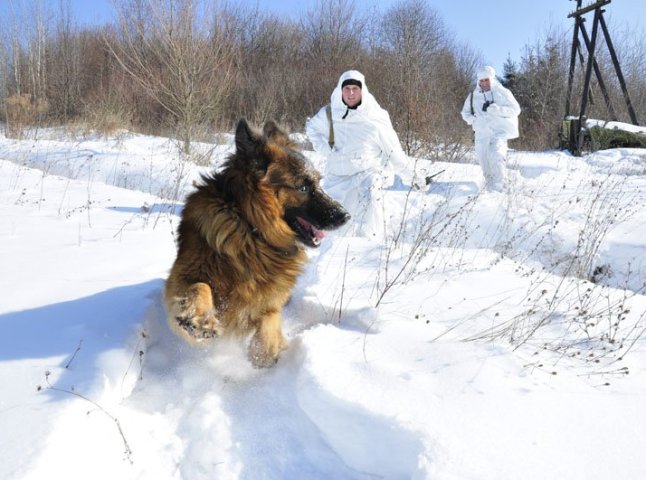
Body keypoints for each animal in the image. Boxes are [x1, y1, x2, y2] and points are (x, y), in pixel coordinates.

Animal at [165, 119, 352, 368]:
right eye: (303, 187)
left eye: (318, 183)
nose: (345, 215)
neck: (251, 230)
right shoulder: (181, 277)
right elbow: (199, 287)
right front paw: (200, 319)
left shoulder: (270, 300)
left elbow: (269, 321)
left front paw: (265, 354)